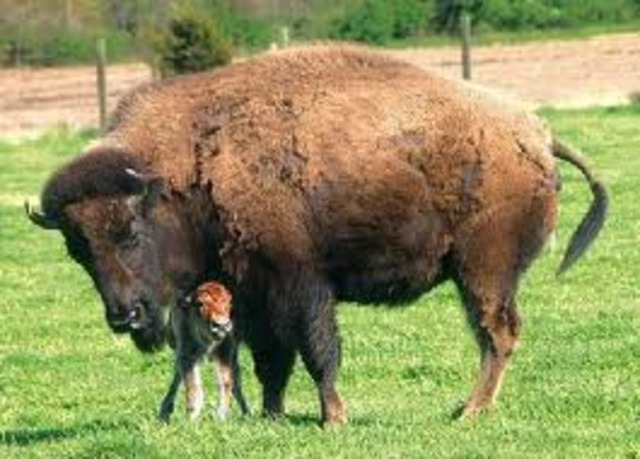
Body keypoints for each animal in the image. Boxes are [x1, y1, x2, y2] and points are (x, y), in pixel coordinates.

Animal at [27, 45, 607, 425]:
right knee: (496, 334)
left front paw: (334, 417)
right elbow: (271, 360)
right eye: (77, 250)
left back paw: (469, 411)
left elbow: (316, 349)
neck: (186, 168)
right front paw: (271, 415)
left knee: (497, 333)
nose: (124, 315)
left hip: (483, 271)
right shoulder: (251, 294)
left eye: (129, 231)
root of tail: (536, 133)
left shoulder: (299, 284)